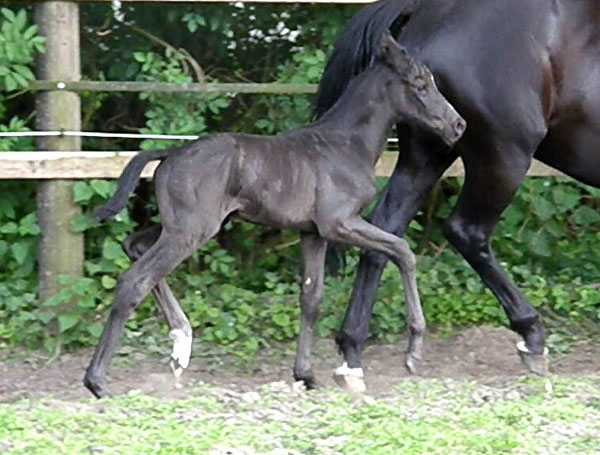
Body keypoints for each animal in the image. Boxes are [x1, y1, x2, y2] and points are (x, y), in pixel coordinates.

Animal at [82, 32, 464, 398]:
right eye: (420, 84)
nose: (458, 125)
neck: (345, 145)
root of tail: (170, 153)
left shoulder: (313, 233)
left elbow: (312, 299)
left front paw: (305, 375)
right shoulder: (339, 223)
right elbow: (403, 251)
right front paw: (413, 351)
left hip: (182, 226)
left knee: (135, 245)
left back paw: (181, 345)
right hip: (192, 230)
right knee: (135, 280)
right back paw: (98, 380)